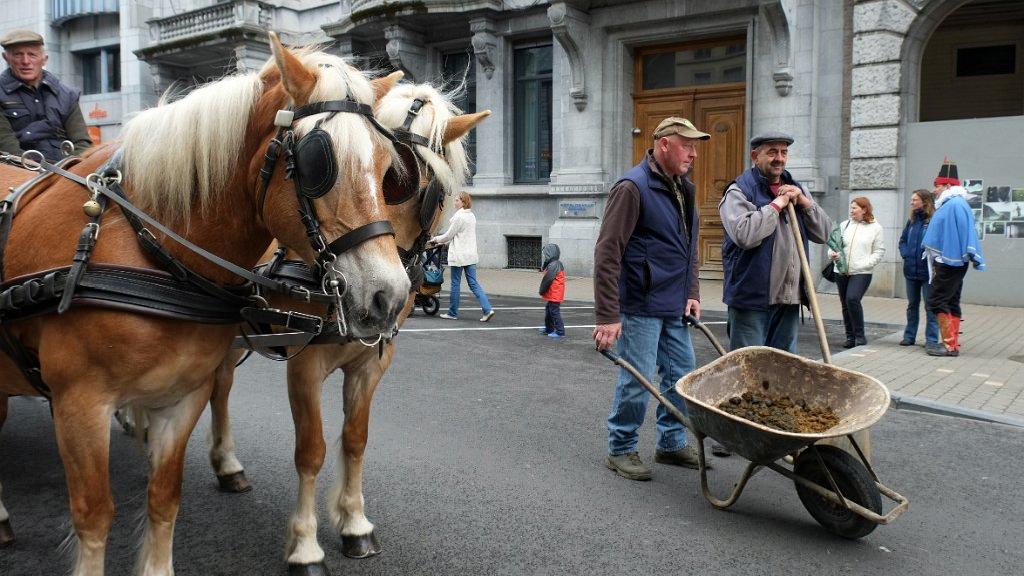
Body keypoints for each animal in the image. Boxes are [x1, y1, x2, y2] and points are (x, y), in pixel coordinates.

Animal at [0, 33, 409, 569]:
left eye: (389, 169)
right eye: (318, 162)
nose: (390, 296)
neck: (153, 247)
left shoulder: (182, 396)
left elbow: (163, 498)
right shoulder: (79, 403)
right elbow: (93, 515)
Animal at [205, 78, 489, 569]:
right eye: (396, 178)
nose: (385, 296)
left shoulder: (370, 364)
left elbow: (355, 440)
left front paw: (355, 524)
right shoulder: (305, 364)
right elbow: (311, 450)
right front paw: (305, 544)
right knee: (215, 387)